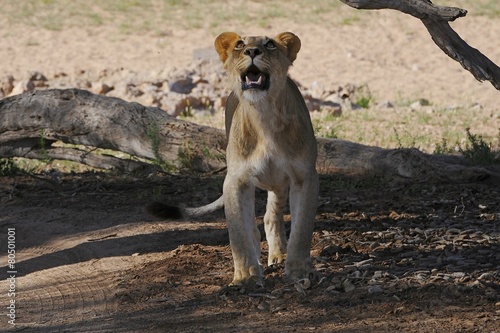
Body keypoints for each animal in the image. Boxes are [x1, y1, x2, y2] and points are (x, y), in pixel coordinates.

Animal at [148, 31, 320, 286]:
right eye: (240, 45)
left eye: (270, 44)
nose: (252, 51)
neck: (264, 116)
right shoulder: (235, 180)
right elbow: (239, 233)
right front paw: (246, 275)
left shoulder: (304, 177)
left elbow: (302, 230)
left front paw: (299, 270)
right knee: (255, 226)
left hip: (279, 184)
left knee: (271, 216)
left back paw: (278, 256)